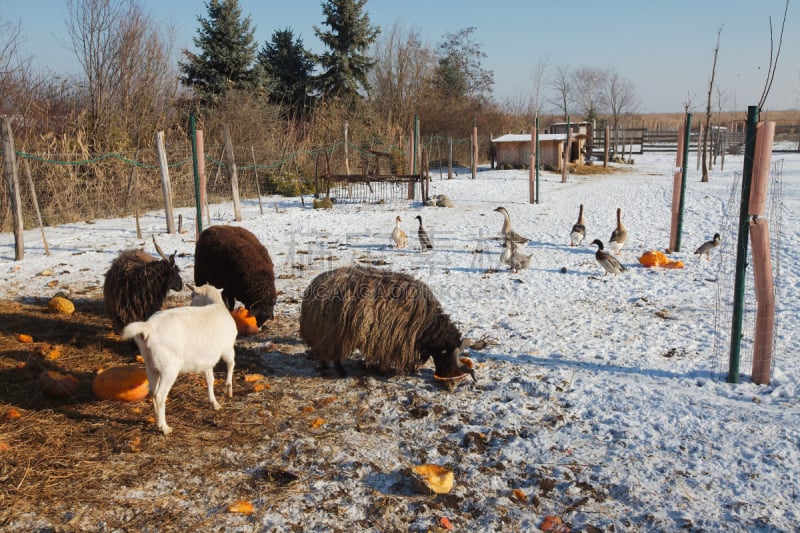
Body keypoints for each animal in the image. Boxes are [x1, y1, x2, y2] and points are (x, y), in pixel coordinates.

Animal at [120, 282, 236, 432]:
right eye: (192, 295)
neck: (216, 304)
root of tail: (148, 327)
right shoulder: (227, 348)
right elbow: (230, 364)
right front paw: (229, 391)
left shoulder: (206, 358)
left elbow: (210, 380)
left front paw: (214, 403)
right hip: (169, 368)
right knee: (159, 395)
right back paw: (164, 427)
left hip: (151, 365)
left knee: (152, 392)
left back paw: (156, 421)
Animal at [300, 264, 476, 380]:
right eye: (446, 354)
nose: (442, 374)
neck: (427, 325)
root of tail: (312, 286)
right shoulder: (395, 339)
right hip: (329, 333)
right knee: (328, 354)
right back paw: (334, 370)